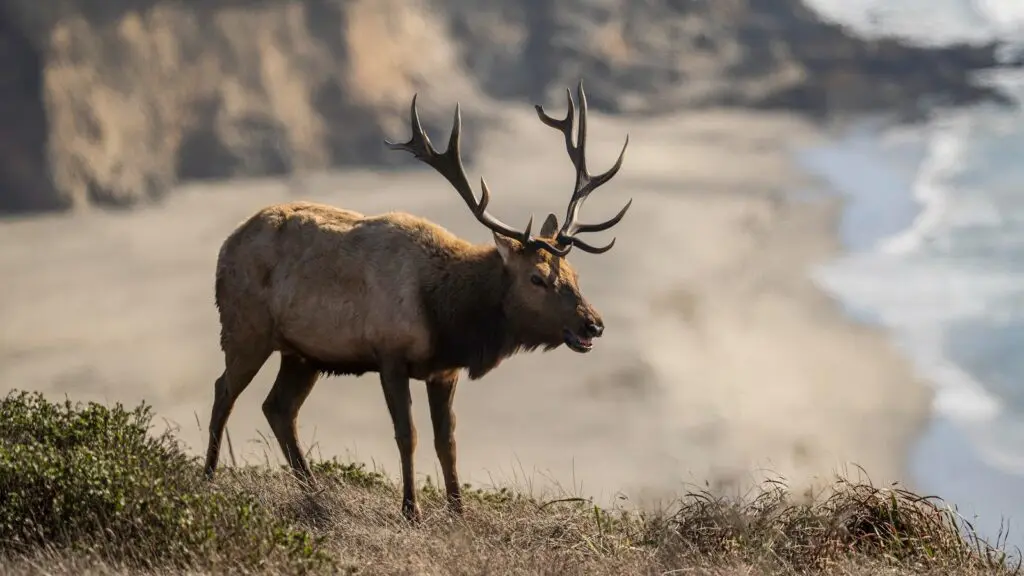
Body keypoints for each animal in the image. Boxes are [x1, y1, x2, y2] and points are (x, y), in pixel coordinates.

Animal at [203, 81, 632, 521]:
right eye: (537, 278)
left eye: (574, 274)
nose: (593, 323)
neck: (445, 315)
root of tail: (227, 245)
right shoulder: (389, 354)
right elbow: (407, 434)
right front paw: (412, 510)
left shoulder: (444, 371)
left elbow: (448, 441)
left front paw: (458, 510)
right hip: (245, 328)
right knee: (224, 392)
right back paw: (209, 477)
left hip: (303, 353)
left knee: (279, 408)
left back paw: (314, 492)